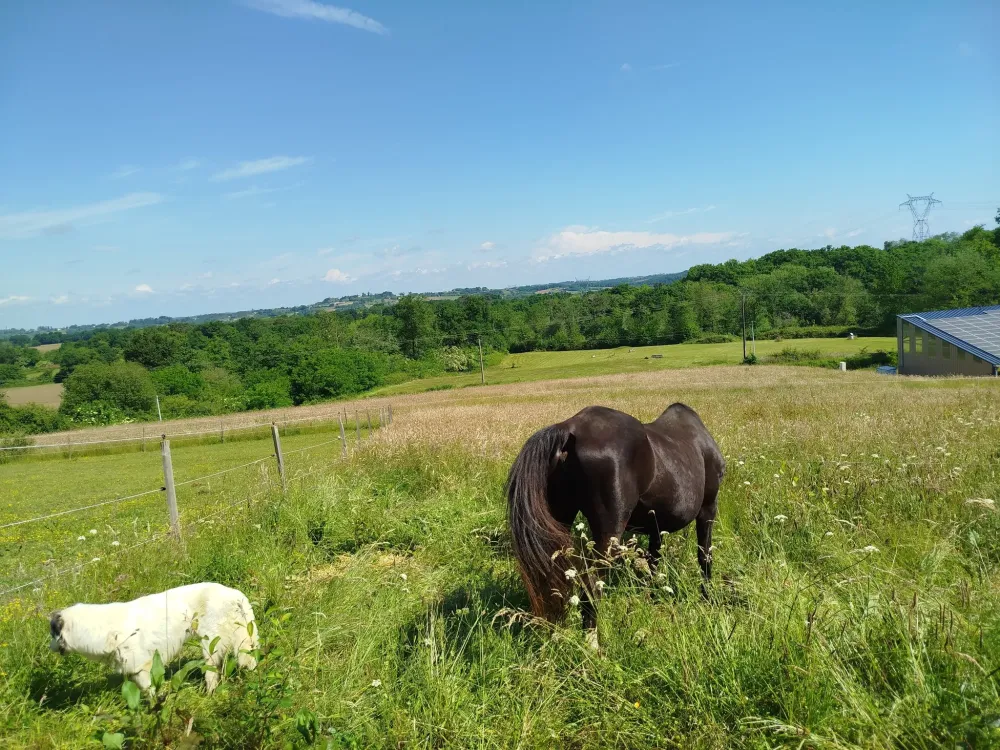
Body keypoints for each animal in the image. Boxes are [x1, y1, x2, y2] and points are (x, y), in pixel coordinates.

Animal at [505, 403, 725, 646]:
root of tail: (570, 428)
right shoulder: (708, 508)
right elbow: (704, 555)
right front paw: (708, 599)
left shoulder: (657, 526)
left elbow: (654, 562)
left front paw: (652, 599)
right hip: (608, 533)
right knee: (592, 585)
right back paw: (592, 644)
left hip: (559, 521)